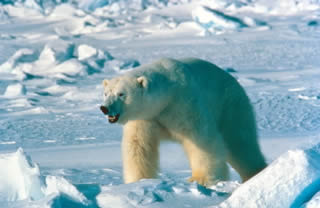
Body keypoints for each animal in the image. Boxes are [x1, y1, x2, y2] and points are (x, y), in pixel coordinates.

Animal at [101, 57, 266, 186]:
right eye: (106, 93)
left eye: (121, 94)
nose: (104, 108)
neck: (166, 95)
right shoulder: (145, 118)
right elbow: (138, 145)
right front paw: (138, 181)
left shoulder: (183, 104)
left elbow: (201, 139)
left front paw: (200, 179)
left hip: (230, 106)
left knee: (240, 142)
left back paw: (255, 173)